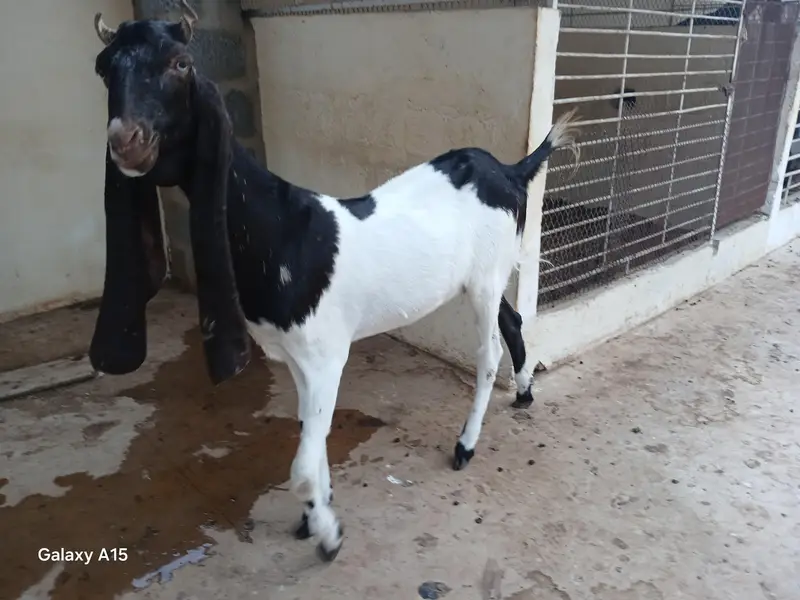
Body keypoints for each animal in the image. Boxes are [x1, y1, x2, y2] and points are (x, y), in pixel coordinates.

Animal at [88, 1, 580, 562]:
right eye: (104, 68)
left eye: (180, 64)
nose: (126, 142)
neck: (284, 230)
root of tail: (511, 170)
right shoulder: (298, 357)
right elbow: (311, 437)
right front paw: (315, 514)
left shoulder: (326, 353)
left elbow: (302, 465)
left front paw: (326, 533)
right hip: (487, 275)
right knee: (513, 319)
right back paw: (523, 393)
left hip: (483, 279)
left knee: (488, 352)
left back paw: (466, 444)